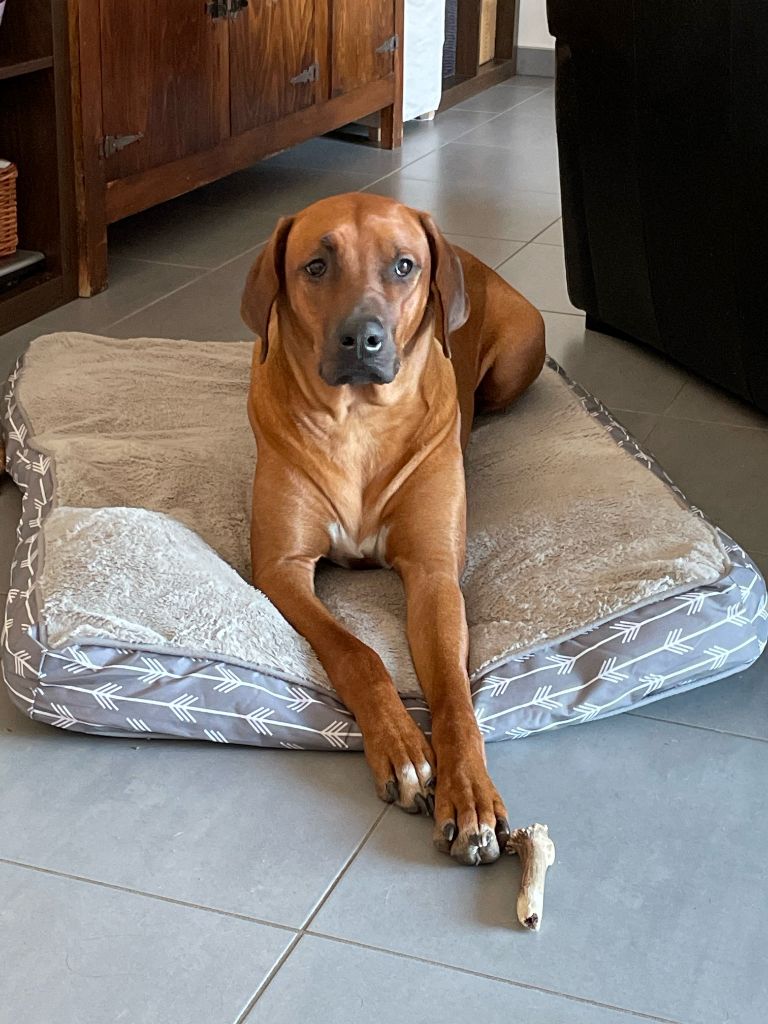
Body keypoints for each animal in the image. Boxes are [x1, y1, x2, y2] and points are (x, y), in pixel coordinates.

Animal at [241, 192, 544, 865]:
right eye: (317, 265)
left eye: (404, 265)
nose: (362, 338)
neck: (358, 421)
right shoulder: (281, 568)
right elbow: (357, 654)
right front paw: (403, 749)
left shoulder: (433, 574)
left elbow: (455, 694)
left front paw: (470, 794)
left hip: (523, 348)